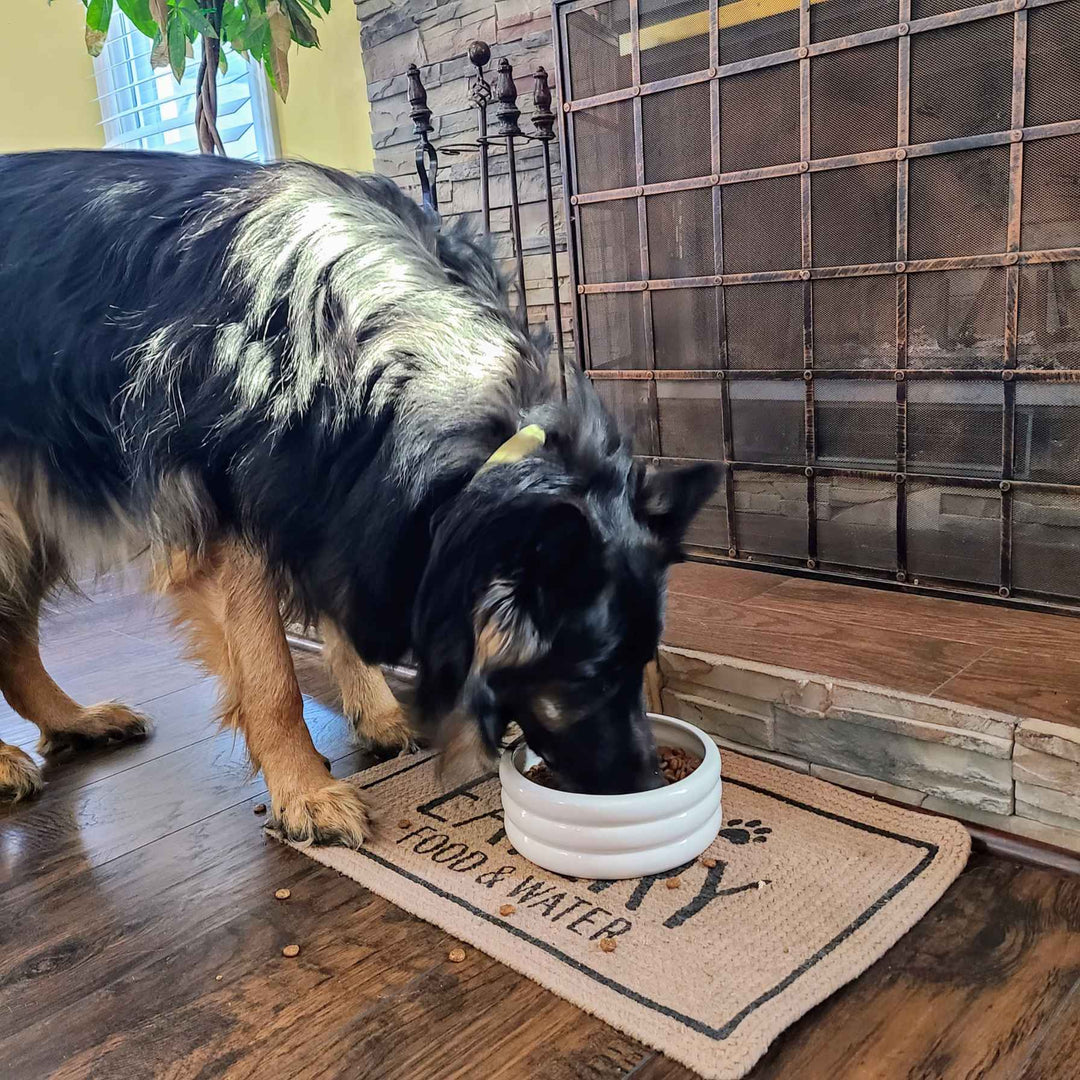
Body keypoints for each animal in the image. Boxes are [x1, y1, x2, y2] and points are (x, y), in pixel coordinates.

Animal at [0, 150, 721, 842]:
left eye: (641, 665)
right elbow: (272, 679)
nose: (647, 784)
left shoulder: (340, 495)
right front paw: (304, 791)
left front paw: (378, 716)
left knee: (13, 637)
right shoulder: (245, 518)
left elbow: (342, 616)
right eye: (587, 677)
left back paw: (76, 721)